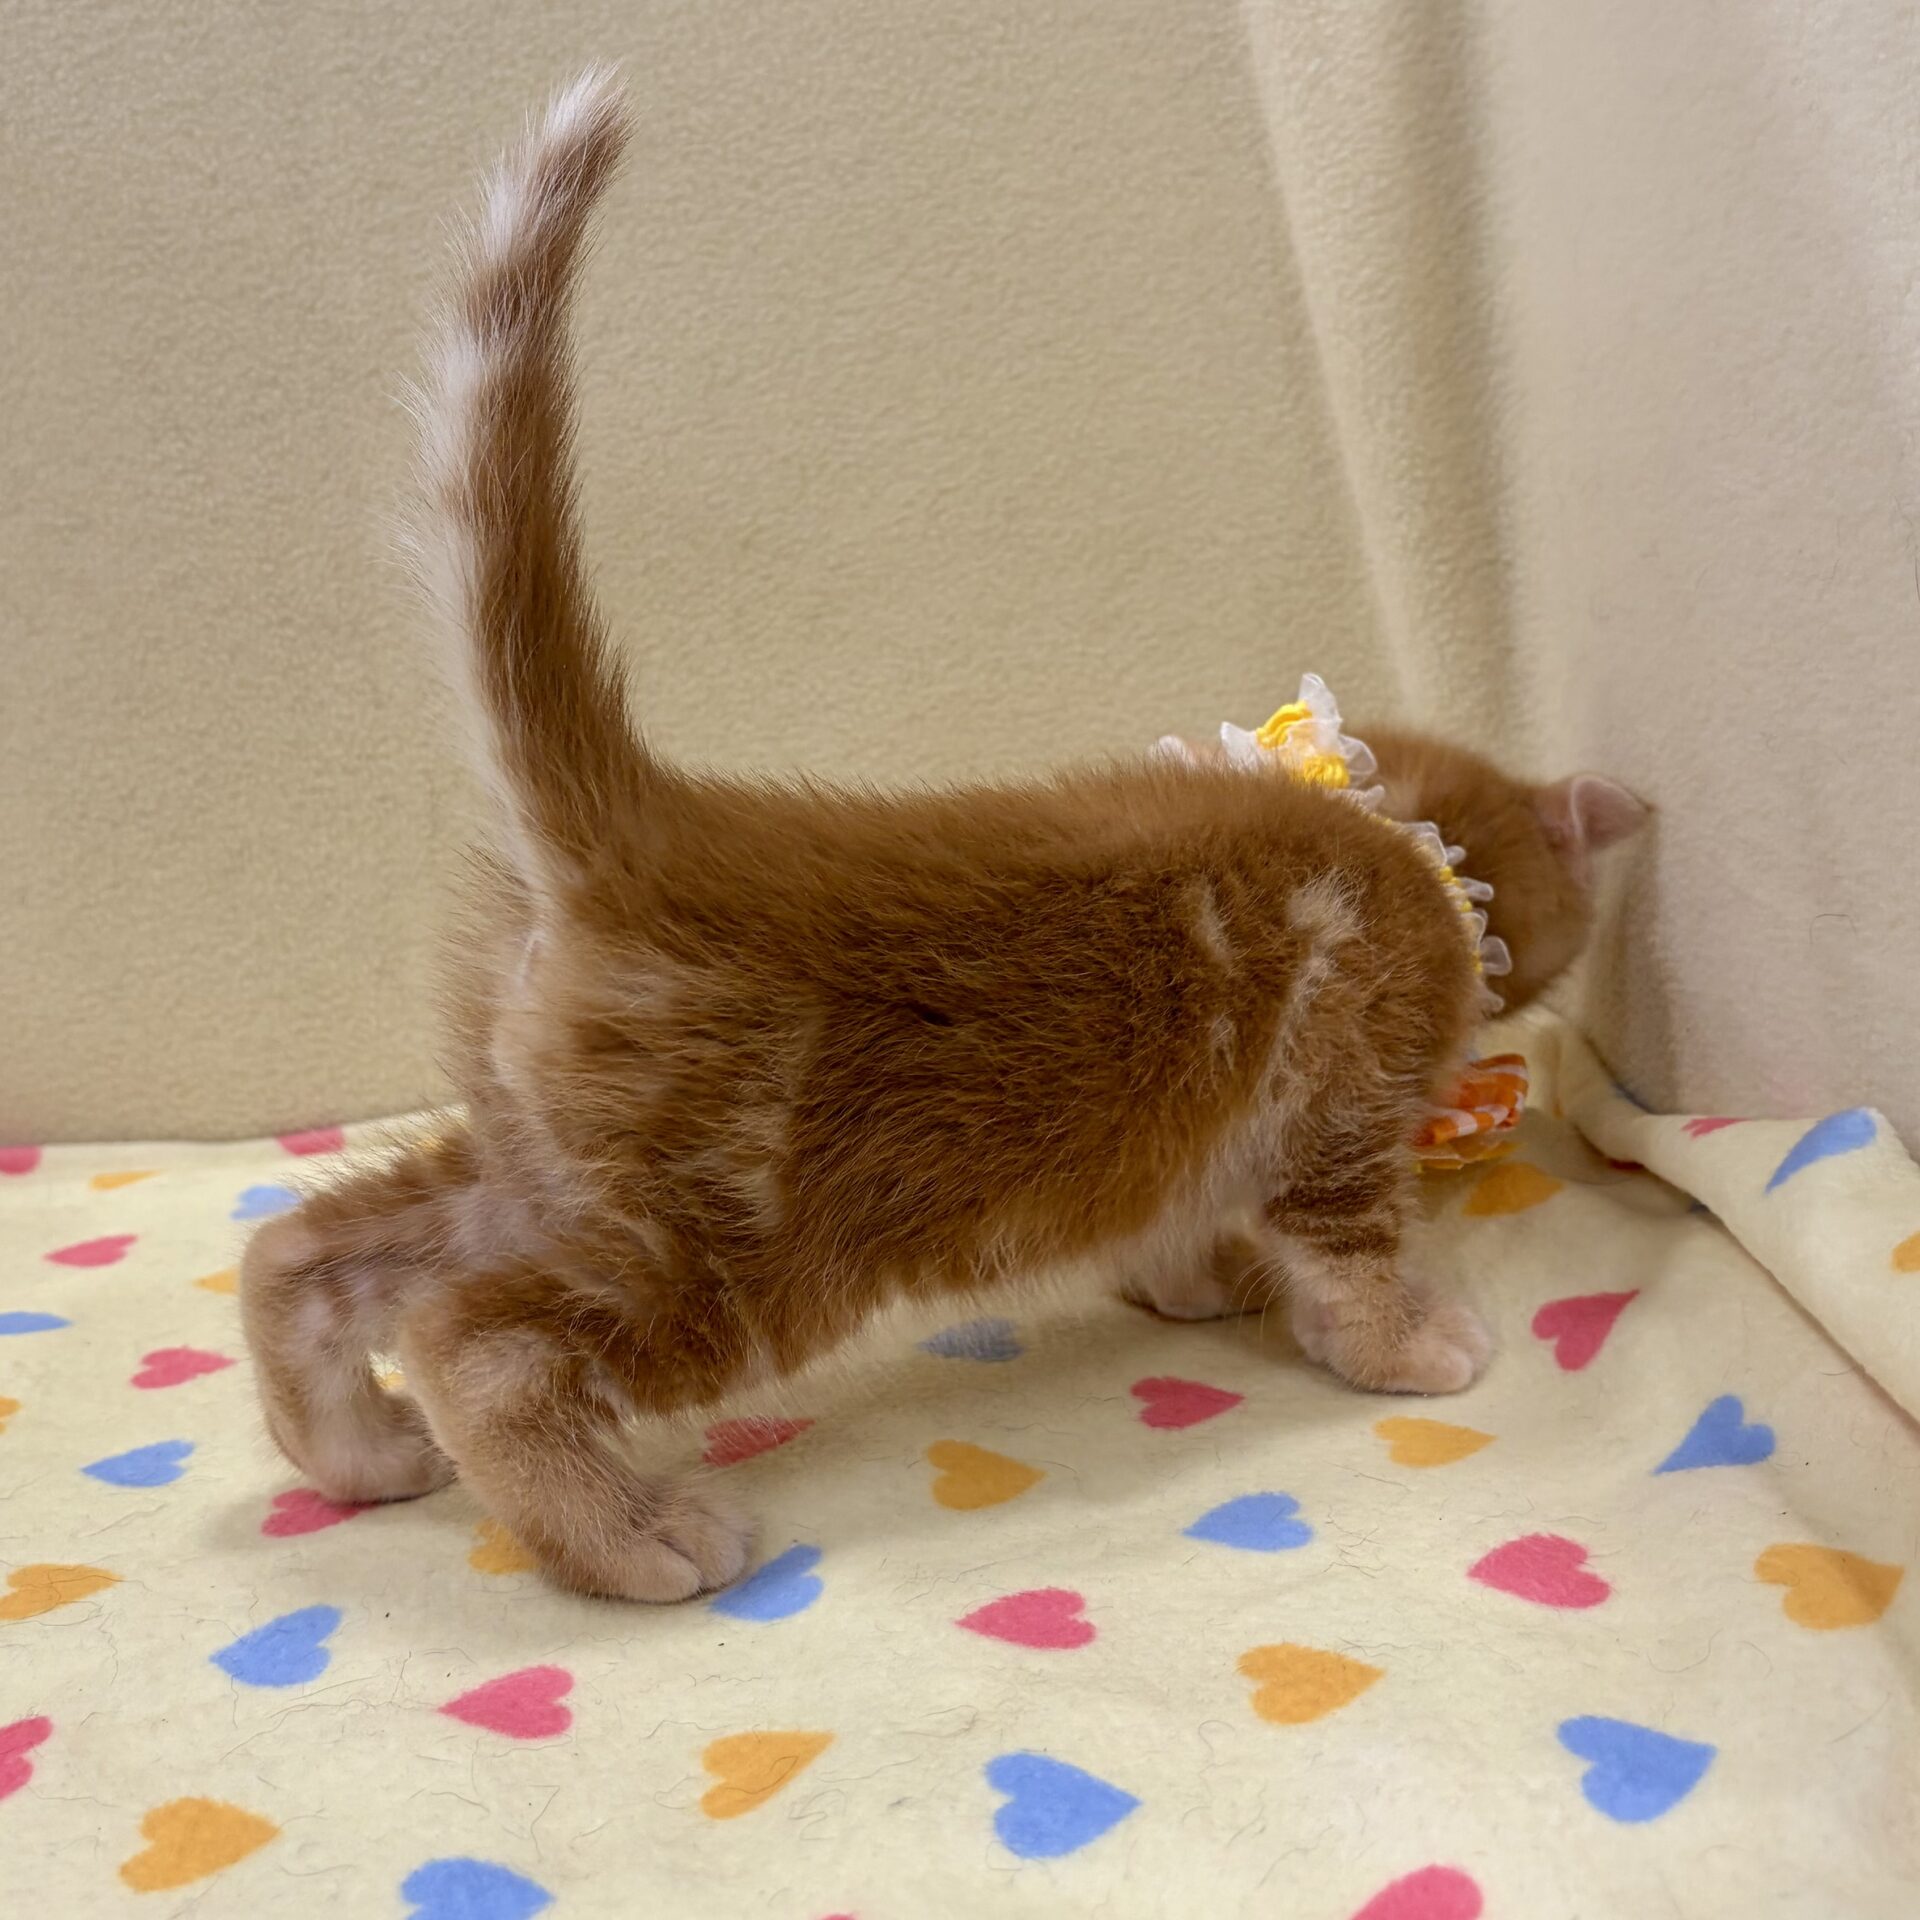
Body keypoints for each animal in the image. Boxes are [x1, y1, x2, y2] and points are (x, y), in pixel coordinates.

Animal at [240, 71, 1646, 1602]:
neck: (1382, 822)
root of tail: (646, 824)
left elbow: (1190, 1217)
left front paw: (1193, 1286)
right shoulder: (1345, 1079)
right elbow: (1347, 1238)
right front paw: (1407, 1343)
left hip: (549, 1165)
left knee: (311, 1244)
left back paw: (352, 1448)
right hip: (737, 1245)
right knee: (477, 1342)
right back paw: (629, 1533)